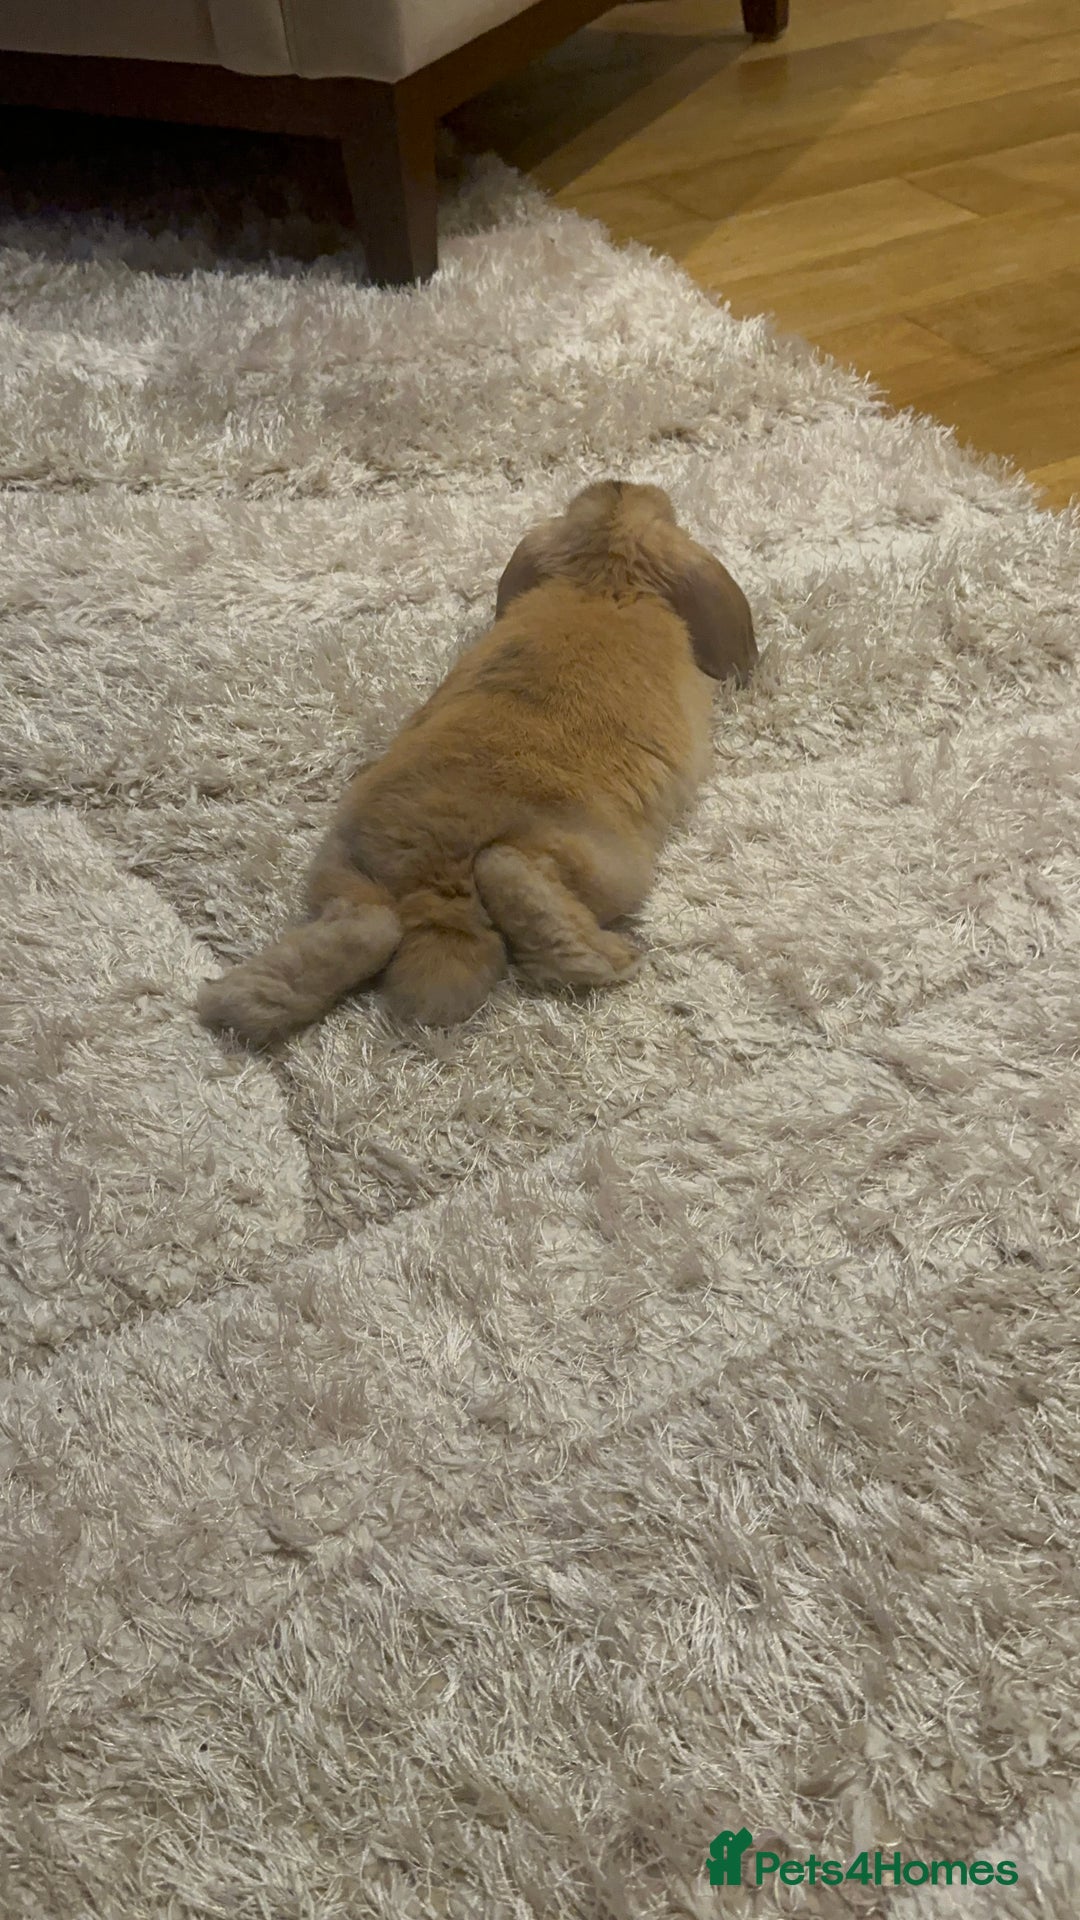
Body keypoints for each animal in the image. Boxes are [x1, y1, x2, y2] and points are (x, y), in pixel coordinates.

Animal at [196, 479, 756, 1041]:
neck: (602, 578)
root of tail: (436, 883)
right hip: (606, 866)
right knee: (514, 876)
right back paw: (616, 959)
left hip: (345, 874)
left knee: (366, 930)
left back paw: (228, 1000)